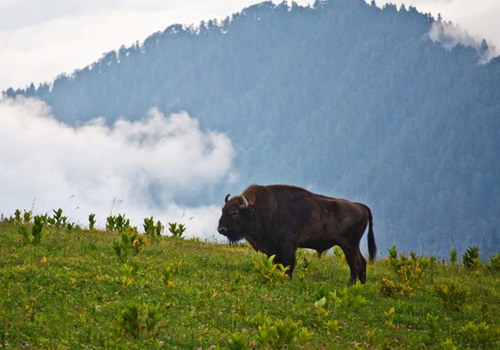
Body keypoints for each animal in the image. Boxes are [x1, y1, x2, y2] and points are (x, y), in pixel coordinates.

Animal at [217, 185, 376, 284]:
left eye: (234, 212)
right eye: (223, 210)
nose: (221, 229)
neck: (257, 209)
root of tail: (360, 206)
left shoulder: (287, 246)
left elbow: (287, 263)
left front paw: (287, 279)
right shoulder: (272, 248)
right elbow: (277, 263)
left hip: (348, 245)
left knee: (354, 265)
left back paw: (350, 285)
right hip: (353, 246)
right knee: (362, 262)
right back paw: (360, 286)